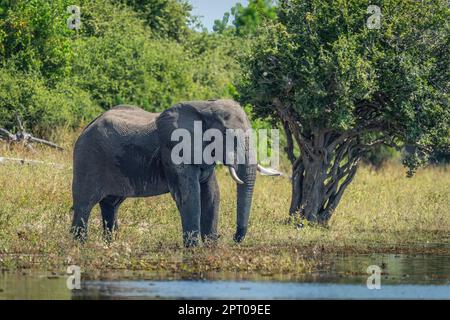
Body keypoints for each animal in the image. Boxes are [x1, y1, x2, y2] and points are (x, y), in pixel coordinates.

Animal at [71, 100, 280, 248]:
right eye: (228, 135)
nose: (233, 238)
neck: (206, 106)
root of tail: (87, 126)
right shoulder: (174, 150)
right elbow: (190, 194)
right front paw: (193, 248)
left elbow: (212, 193)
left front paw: (211, 246)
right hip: (88, 158)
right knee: (84, 205)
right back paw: (79, 245)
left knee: (111, 204)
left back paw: (110, 244)